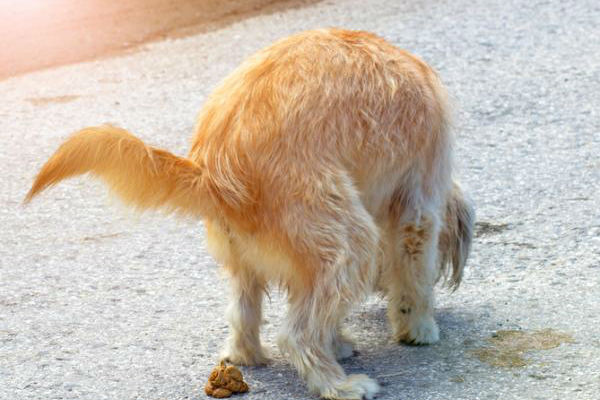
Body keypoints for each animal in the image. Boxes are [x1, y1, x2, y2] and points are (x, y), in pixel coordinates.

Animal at [27, 28, 474, 400]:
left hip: (246, 257)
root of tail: (216, 169)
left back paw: (248, 356)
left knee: (244, 314)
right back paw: (339, 385)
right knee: (296, 334)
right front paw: (418, 328)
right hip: (352, 243)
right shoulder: (419, 205)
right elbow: (414, 274)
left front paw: (340, 341)